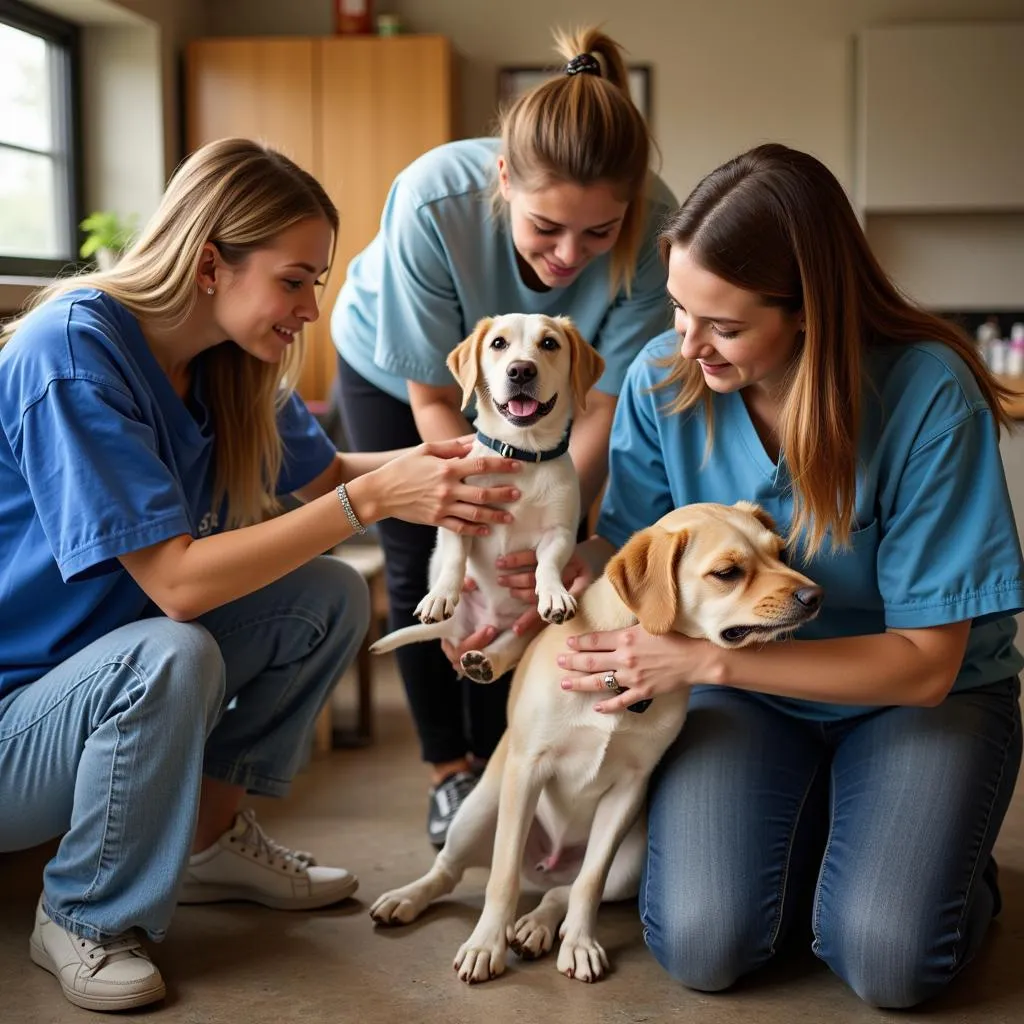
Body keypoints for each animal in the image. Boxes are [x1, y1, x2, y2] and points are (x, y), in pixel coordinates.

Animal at [368, 503, 823, 983]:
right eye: (727, 572)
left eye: (780, 553)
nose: (816, 596)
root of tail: (548, 866)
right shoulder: (527, 770)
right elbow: (502, 876)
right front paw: (486, 943)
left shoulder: (627, 791)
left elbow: (588, 882)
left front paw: (580, 944)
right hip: (480, 812)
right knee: (449, 871)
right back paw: (407, 899)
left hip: (631, 863)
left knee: (561, 892)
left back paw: (536, 926)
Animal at [370, 311, 602, 679]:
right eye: (498, 343)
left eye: (549, 343)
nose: (521, 370)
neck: (521, 452)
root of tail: (469, 627)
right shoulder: (459, 515)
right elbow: (455, 559)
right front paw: (440, 595)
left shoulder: (559, 534)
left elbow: (547, 565)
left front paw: (554, 594)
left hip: (523, 630)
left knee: (506, 647)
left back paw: (483, 661)